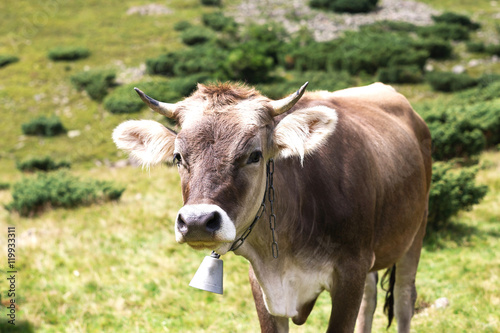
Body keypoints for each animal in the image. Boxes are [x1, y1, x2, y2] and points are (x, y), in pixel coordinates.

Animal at [112, 81, 430, 332]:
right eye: (178, 157)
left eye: (255, 155)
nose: (197, 222)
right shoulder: (261, 282)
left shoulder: (351, 270)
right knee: (370, 299)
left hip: (416, 231)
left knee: (404, 299)